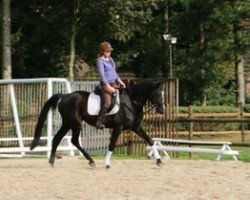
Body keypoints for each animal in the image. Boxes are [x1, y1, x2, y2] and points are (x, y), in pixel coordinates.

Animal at [30, 79, 165, 167]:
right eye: (156, 93)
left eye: (163, 94)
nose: (162, 110)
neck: (131, 102)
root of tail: (65, 96)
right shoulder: (118, 127)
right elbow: (111, 145)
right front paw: (107, 163)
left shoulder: (136, 127)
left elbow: (150, 140)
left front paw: (159, 161)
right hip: (75, 123)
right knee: (74, 140)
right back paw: (91, 161)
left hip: (67, 123)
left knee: (58, 138)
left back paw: (52, 162)